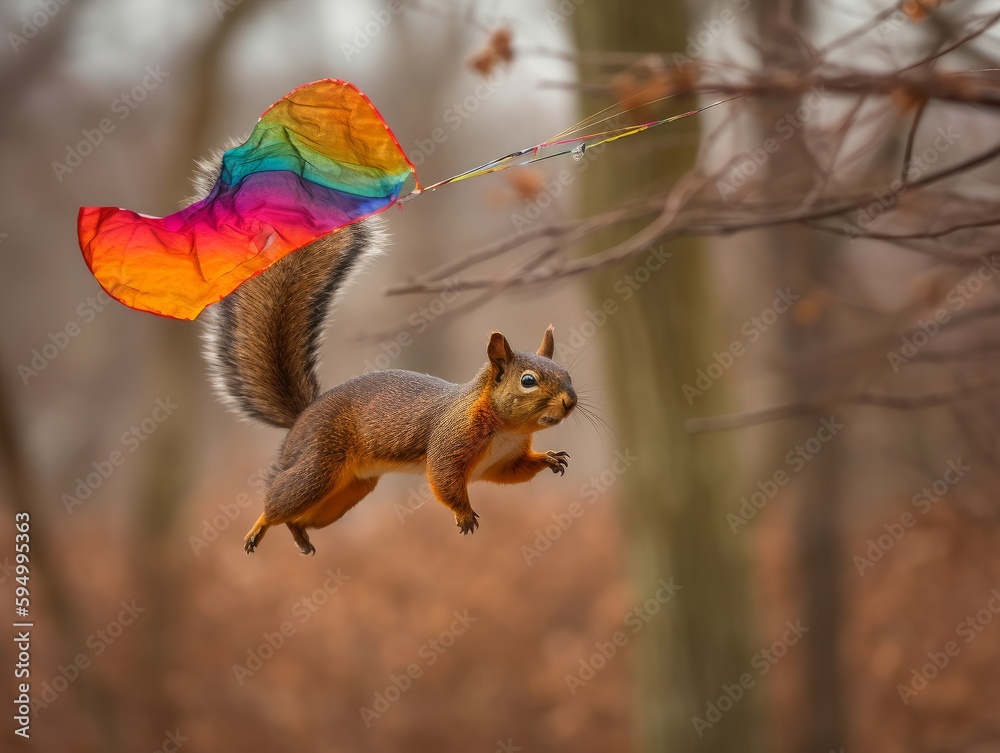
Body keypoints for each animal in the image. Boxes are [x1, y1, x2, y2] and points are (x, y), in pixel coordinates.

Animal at [195, 155, 578, 555]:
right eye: (528, 381)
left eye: (567, 373)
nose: (570, 402)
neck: (506, 428)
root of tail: (303, 416)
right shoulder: (449, 444)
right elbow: (443, 481)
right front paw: (464, 514)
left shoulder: (501, 461)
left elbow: (513, 472)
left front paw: (550, 459)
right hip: (315, 468)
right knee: (278, 501)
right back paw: (258, 526)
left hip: (348, 492)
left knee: (300, 519)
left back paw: (299, 535)